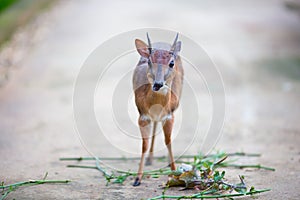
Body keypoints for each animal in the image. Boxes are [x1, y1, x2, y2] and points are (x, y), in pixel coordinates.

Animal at [132, 33, 183, 186]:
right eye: (149, 61)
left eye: (171, 63)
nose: (158, 84)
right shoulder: (142, 116)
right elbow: (144, 144)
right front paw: (137, 179)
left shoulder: (169, 116)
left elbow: (168, 141)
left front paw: (174, 173)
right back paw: (150, 159)